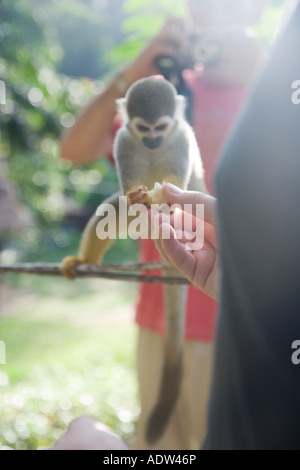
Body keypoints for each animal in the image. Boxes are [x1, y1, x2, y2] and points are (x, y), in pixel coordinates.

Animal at [61, 78, 206, 444]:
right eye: (144, 128)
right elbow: (127, 194)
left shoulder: (181, 137)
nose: (153, 140)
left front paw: (165, 196)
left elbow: (175, 182)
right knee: (115, 209)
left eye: (161, 128)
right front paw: (139, 195)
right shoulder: (124, 139)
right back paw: (82, 259)